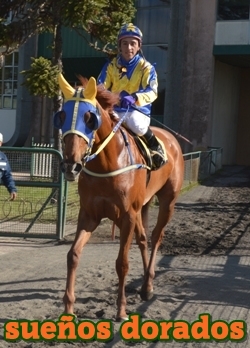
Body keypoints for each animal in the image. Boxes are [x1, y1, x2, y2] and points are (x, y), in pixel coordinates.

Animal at [54, 72, 184, 320]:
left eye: (89, 118)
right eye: (61, 115)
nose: (70, 165)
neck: (107, 164)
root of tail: (171, 139)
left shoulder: (127, 216)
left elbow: (122, 263)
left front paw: (121, 310)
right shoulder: (90, 215)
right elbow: (72, 255)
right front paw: (68, 308)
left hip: (168, 201)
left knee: (156, 237)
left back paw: (148, 285)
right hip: (142, 206)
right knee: (143, 239)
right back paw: (145, 287)